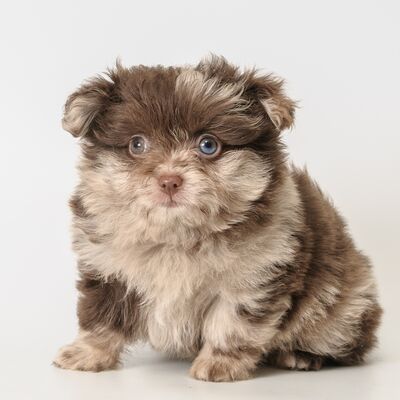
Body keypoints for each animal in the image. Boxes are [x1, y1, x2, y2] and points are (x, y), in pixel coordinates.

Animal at [54, 56, 382, 381]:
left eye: (208, 145)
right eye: (137, 144)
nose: (169, 181)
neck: (178, 235)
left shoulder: (254, 277)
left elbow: (231, 324)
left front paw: (219, 364)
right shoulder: (108, 269)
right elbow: (100, 317)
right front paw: (86, 354)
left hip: (340, 309)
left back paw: (299, 355)